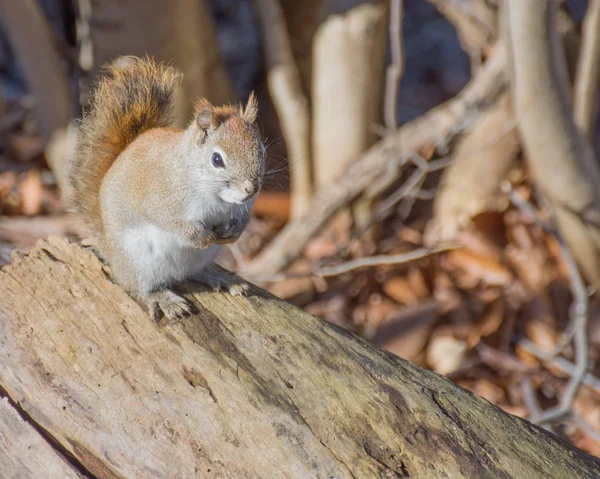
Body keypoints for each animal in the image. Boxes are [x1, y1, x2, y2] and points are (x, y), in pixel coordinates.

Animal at [67, 58, 264, 324]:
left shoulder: (241, 206)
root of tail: (112, 252)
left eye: (261, 149)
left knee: (192, 273)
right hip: (139, 260)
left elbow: (242, 217)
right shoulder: (160, 198)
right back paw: (162, 298)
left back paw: (219, 277)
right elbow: (169, 222)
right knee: (138, 288)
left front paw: (236, 231)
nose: (250, 189)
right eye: (217, 159)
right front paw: (200, 237)